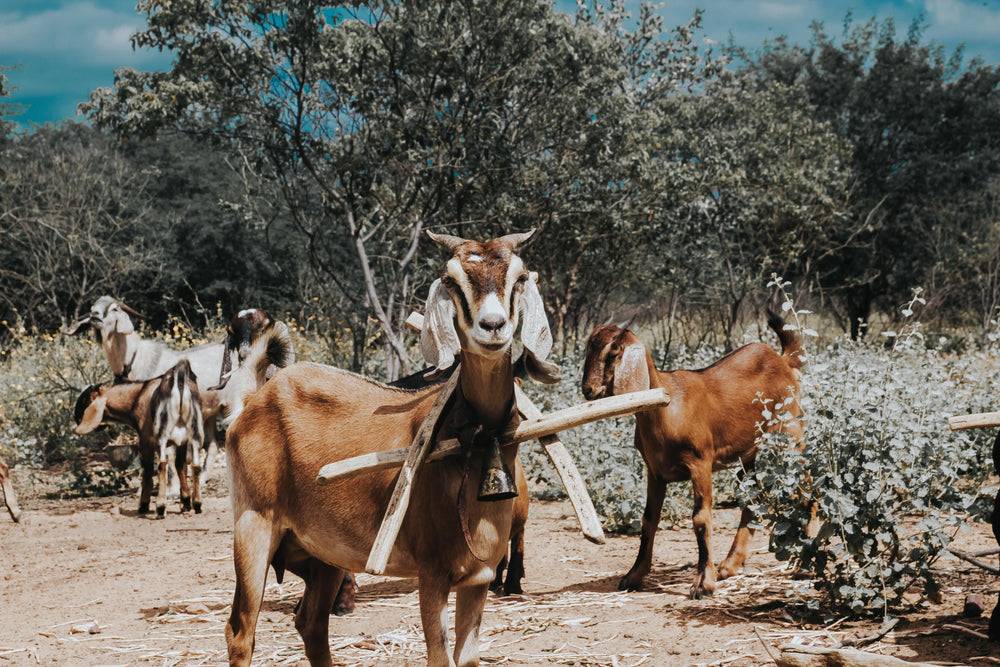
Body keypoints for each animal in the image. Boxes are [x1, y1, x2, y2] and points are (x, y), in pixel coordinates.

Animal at [222, 231, 560, 667]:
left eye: (518, 277)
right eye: (451, 280)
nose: (493, 326)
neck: (472, 439)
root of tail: (254, 401)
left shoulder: (477, 580)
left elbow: (467, 658)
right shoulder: (433, 574)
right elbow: (439, 657)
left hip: (325, 553)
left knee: (310, 622)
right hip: (254, 526)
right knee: (240, 630)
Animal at [580, 314, 804, 600]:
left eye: (613, 351)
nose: (588, 389)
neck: (666, 406)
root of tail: (783, 361)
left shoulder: (700, 463)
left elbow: (701, 518)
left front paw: (703, 583)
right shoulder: (655, 471)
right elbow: (648, 519)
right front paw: (634, 575)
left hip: (791, 436)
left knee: (806, 485)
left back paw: (800, 565)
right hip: (749, 456)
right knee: (753, 499)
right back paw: (730, 565)